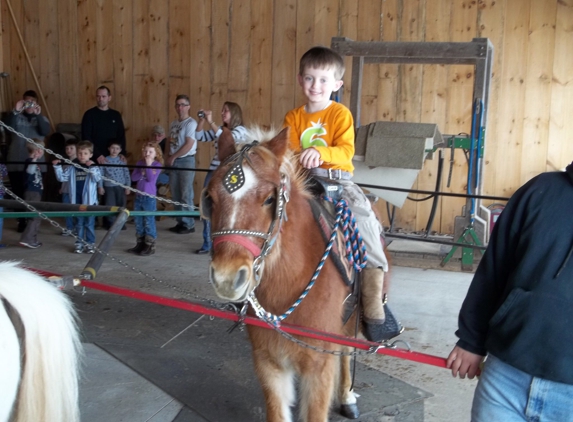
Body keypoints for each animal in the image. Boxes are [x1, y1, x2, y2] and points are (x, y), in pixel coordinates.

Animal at [200, 129, 370, 422]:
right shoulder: (268, 361)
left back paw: (347, 397)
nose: (227, 278)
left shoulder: (319, 367)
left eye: (270, 199)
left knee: (347, 352)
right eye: (210, 198)